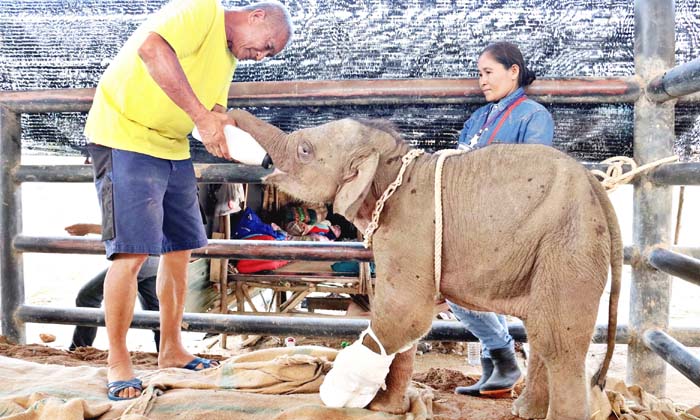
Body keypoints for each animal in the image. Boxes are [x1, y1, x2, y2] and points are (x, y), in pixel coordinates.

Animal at [231, 109, 624, 420]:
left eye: (304, 150)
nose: (228, 113)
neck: (392, 162)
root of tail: (597, 187)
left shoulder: (410, 228)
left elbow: (404, 314)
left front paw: (344, 395)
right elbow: (405, 323)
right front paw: (386, 407)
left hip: (570, 243)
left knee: (559, 342)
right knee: (541, 331)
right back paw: (524, 410)